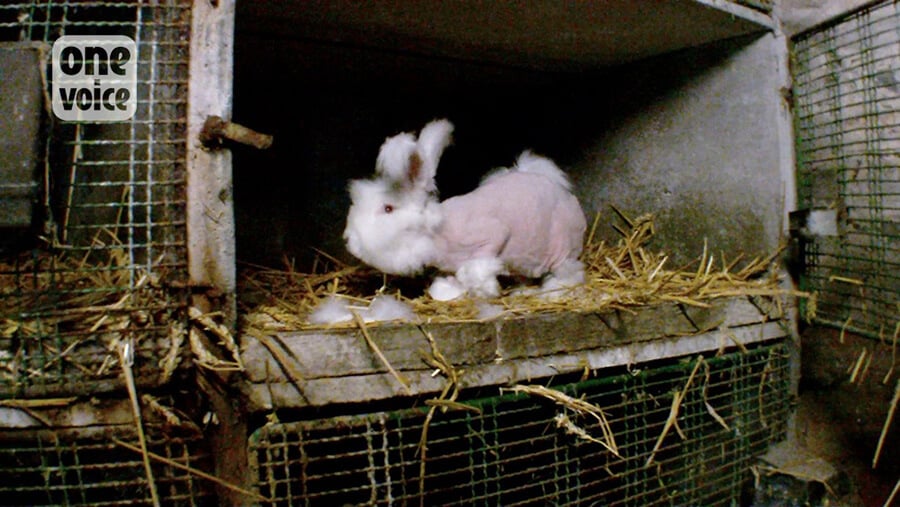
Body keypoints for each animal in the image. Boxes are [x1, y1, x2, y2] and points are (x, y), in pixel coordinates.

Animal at [342, 119, 588, 302]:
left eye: (388, 208)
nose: (350, 241)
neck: (437, 231)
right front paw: (448, 292)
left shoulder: (493, 235)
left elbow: (476, 269)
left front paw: (485, 290)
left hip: (563, 247)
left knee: (571, 272)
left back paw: (554, 291)